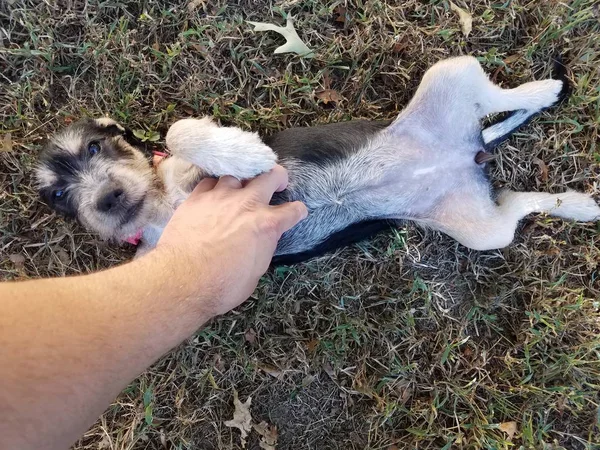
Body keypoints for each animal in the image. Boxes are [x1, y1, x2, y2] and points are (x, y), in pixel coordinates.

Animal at [37, 55, 600, 264]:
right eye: (58, 195)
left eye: (95, 147)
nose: (108, 198)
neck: (160, 206)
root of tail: (467, 154)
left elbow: (180, 131)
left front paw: (242, 152)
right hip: (484, 231)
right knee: (520, 202)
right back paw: (576, 203)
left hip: (450, 71)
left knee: (503, 95)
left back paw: (546, 90)